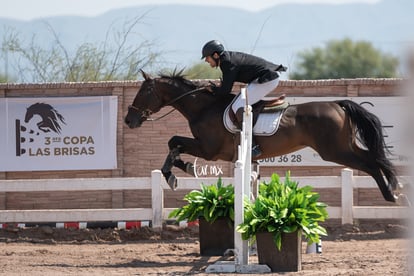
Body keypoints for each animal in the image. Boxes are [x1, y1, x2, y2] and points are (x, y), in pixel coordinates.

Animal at [126, 70, 404, 204]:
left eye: (143, 92)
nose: (129, 120)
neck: (203, 107)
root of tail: (338, 104)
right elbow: (173, 143)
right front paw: (176, 170)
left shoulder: (209, 150)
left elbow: (174, 141)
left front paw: (176, 172)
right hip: (344, 146)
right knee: (375, 158)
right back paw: (395, 187)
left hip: (334, 151)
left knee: (371, 163)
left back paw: (391, 194)